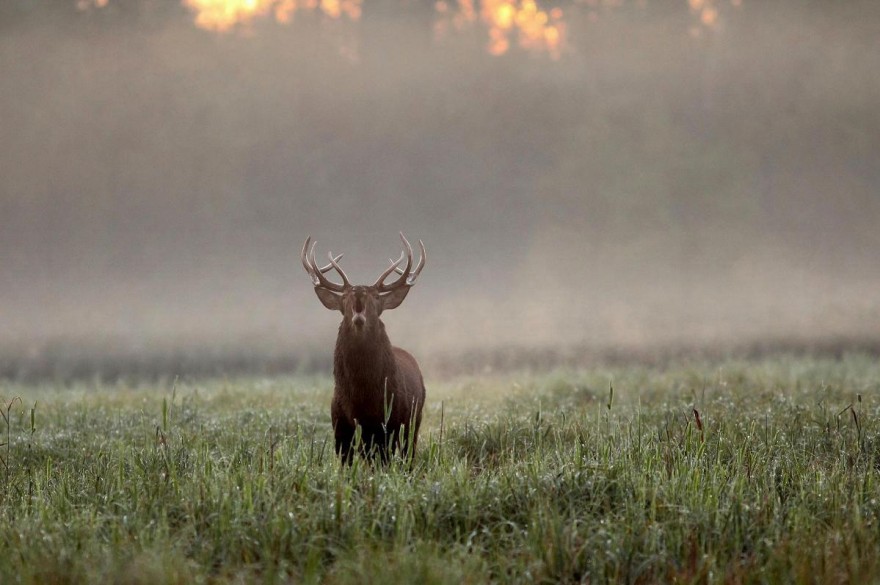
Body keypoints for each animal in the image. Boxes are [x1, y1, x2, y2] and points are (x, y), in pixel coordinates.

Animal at [300, 230, 428, 464]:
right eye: (344, 297)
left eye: (376, 297)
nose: (358, 314)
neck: (363, 400)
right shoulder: (340, 428)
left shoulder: (389, 425)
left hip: (414, 420)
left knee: (409, 455)